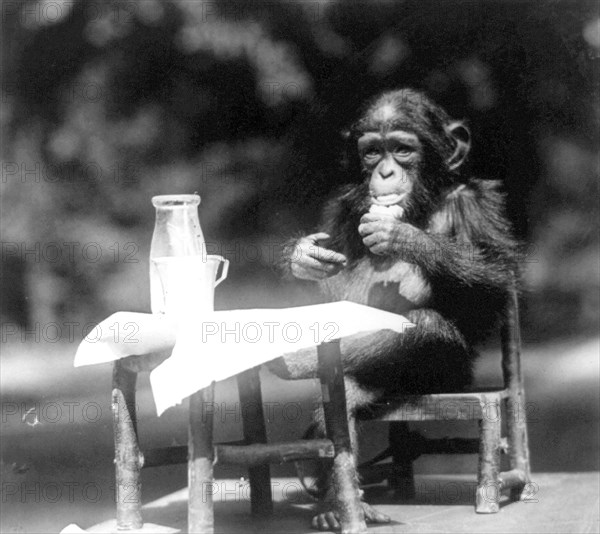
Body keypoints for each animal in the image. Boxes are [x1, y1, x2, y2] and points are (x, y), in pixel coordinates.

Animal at [270, 89, 516, 532]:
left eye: (402, 150)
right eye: (372, 152)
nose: (384, 173)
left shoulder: (477, 204)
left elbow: (496, 279)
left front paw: (402, 236)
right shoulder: (341, 208)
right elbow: (330, 291)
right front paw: (301, 258)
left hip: (447, 376)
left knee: (423, 326)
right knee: (345, 398)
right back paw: (335, 502)